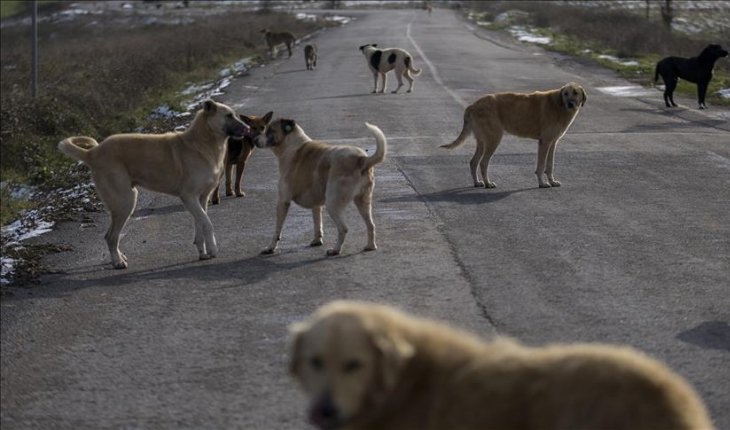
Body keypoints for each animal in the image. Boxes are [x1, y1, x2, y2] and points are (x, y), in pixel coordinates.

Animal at [57, 101, 250, 268]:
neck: (202, 142)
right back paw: (118, 262)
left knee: (111, 236)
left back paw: (119, 257)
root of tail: (92, 153)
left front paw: (203, 252)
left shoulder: (201, 199)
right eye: (228, 116)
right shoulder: (189, 197)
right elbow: (207, 223)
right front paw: (212, 249)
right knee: (110, 236)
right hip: (125, 202)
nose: (247, 128)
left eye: (234, 115)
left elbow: (200, 225)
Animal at [252, 117, 386, 255]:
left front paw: (271, 247)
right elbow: (317, 222)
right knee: (371, 225)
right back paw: (370, 246)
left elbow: (277, 230)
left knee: (343, 228)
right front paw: (317, 240)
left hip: (332, 203)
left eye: (270, 130)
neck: (291, 144)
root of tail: (361, 159)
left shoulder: (283, 201)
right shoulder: (316, 203)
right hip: (363, 201)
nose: (254, 140)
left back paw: (335, 250)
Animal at [438, 82, 584, 188]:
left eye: (575, 93)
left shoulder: (552, 143)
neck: (559, 105)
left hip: (482, 141)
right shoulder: (545, 142)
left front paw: (552, 181)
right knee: (483, 162)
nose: (570, 104)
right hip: (494, 139)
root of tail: (472, 105)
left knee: (473, 162)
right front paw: (542, 183)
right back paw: (487, 183)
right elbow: (541, 166)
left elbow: (550, 165)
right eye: (565, 93)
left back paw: (478, 182)